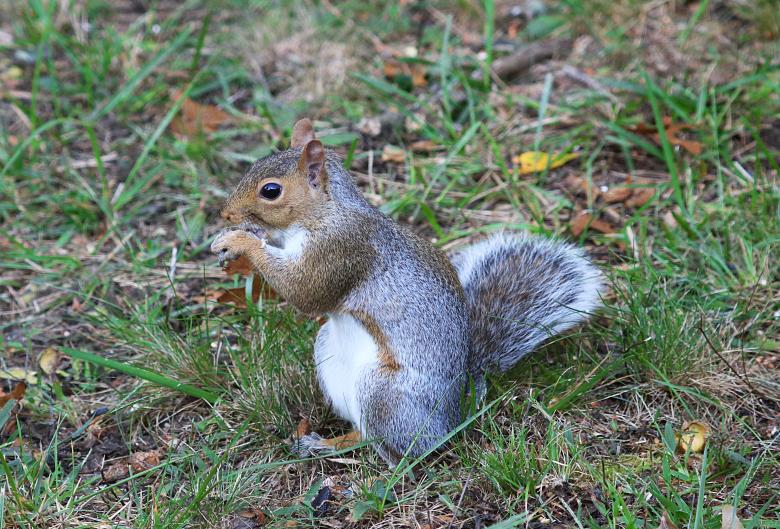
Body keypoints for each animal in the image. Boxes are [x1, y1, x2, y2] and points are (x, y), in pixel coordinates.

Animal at [211, 118, 603, 465]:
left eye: (271, 190)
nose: (226, 213)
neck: (324, 213)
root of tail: (453, 415)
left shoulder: (342, 250)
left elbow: (306, 291)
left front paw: (240, 240)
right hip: (330, 357)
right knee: (363, 432)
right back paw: (325, 441)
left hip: (384, 393)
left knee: (395, 449)